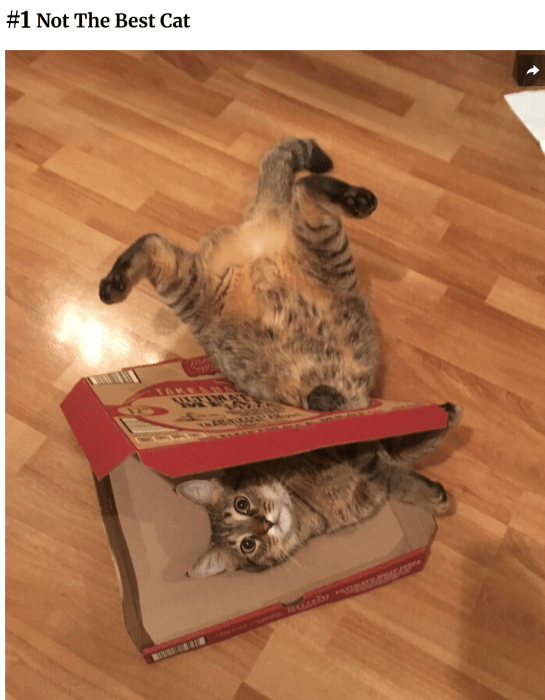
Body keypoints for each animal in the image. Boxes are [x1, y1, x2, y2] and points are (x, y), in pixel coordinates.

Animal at [100, 138, 380, 412]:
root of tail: (260, 216)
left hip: (191, 282)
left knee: (152, 242)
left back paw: (112, 284)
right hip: (321, 253)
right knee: (307, 186)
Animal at [176, 402, 462, 577]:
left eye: (241, 504)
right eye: (248, 544)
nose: (266, 524)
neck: (301, 501)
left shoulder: (354, 447)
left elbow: (399, 442)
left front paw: (445, 415)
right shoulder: (367, 473)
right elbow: (394, 473)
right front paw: (432, 495)